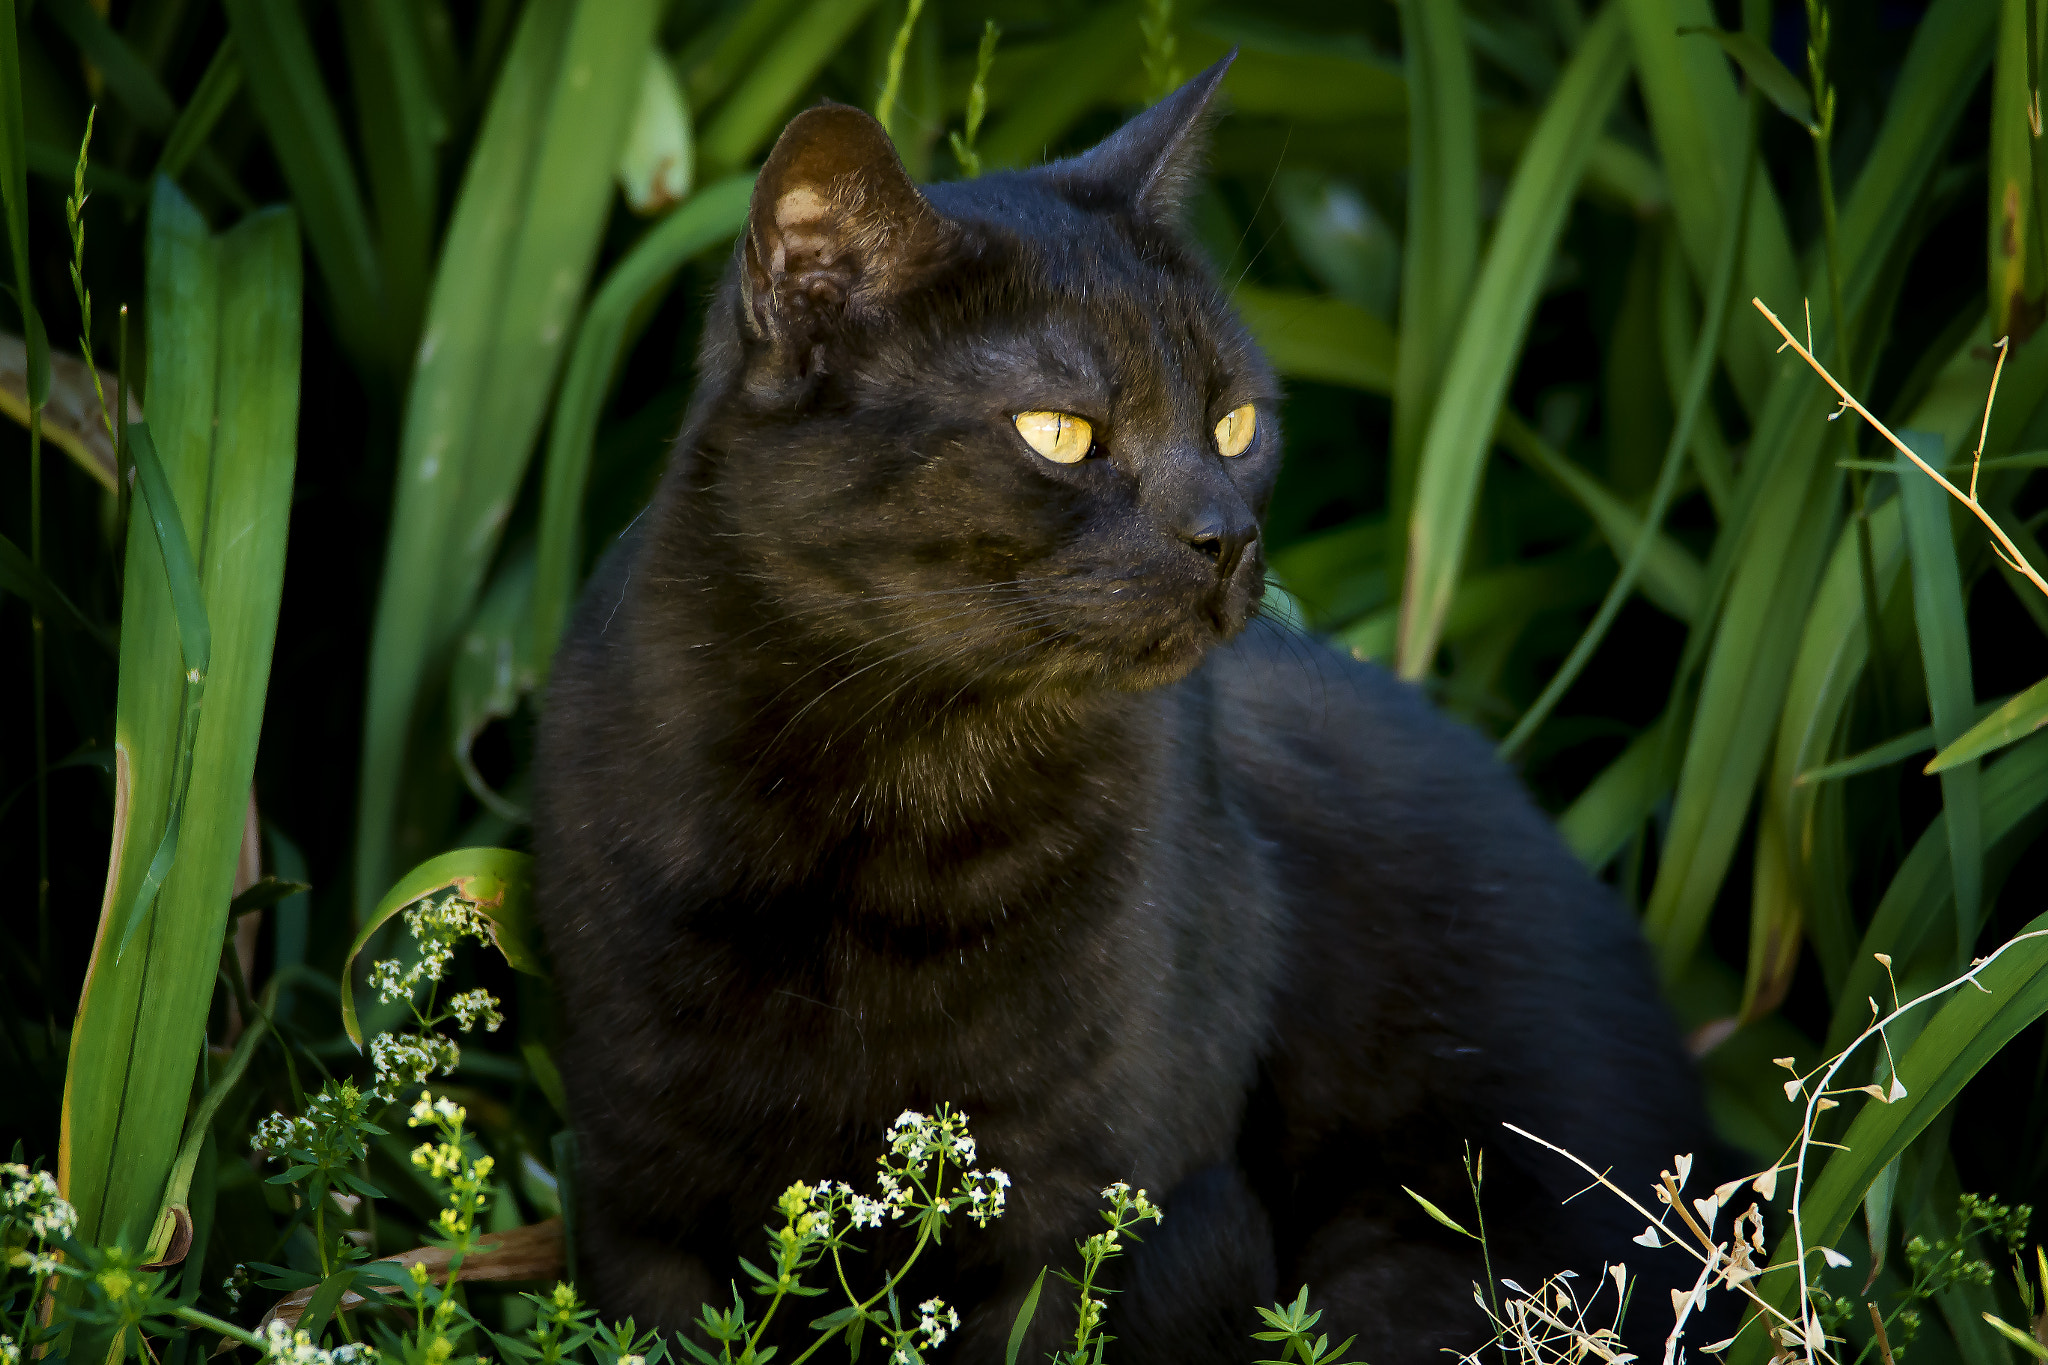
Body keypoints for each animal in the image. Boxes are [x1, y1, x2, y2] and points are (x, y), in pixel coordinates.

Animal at [528, 56, 1712, 1365]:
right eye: (1058, 433)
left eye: (1235, 423)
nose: (1225, 537)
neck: (887, 801)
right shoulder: (636, 1202)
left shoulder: (1110, 1215)